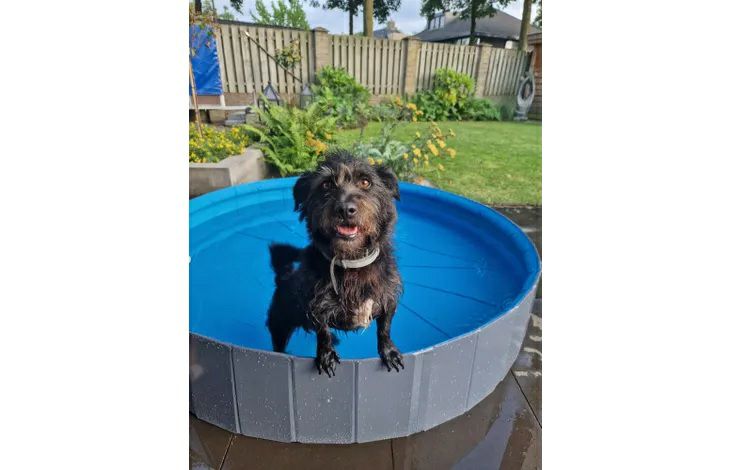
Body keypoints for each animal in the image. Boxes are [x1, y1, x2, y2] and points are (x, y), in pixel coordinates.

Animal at [266, 150, 404, 377]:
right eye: (326, 185)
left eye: (365, 182)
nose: (345, 209)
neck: (351, 261)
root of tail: (284, 277)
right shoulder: (315, 306)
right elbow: (323, 331)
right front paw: (326, 354)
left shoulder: (389, 297)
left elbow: (385, 327)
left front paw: (389, 350)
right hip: (279, 324)